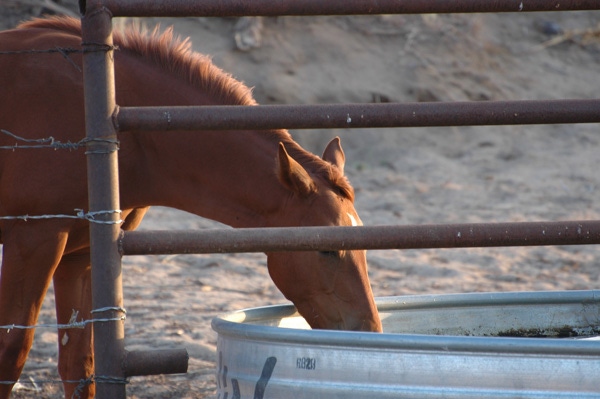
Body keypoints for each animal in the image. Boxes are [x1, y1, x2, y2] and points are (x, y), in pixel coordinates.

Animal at [0, 16, 382, 399]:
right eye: (326, 249)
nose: (368, 332)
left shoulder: (81, 255)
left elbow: (79, 367)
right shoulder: (34, 241)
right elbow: (11, 353)